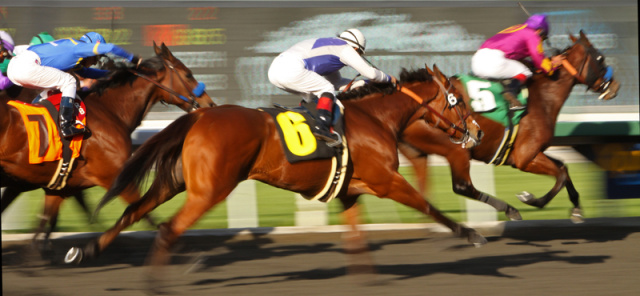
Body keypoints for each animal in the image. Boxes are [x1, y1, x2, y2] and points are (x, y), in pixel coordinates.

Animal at [0, 42, 215, 244]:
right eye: (188, 75)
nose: (210, 104)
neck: (109, 110)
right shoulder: (116, 178)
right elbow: (142, 214)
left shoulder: (59, 187)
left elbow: (41, 234)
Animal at [66, 67, 484, 272]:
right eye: (459, 100)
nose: (478, 132)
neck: (374, 117)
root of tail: (199, 116)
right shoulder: (386, 181)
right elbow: (427, 205)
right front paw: (470, 234)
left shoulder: (350, 192)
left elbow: (356, 240)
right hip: (211, 188)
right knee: (166, 227)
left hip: (177, 181)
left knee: (132, 211)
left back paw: (84, 251)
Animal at [400, 31, 620, 223]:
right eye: (601, 58)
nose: (615, 87)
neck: (542, 97)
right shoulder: (524, 157)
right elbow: (560, 175)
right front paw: (530, 198)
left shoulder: (532, 153)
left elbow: (562, 167)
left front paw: (576, 208)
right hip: (455, 145)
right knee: (461, 186)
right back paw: (508, 209)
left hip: (418, 152)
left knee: (423, 187)